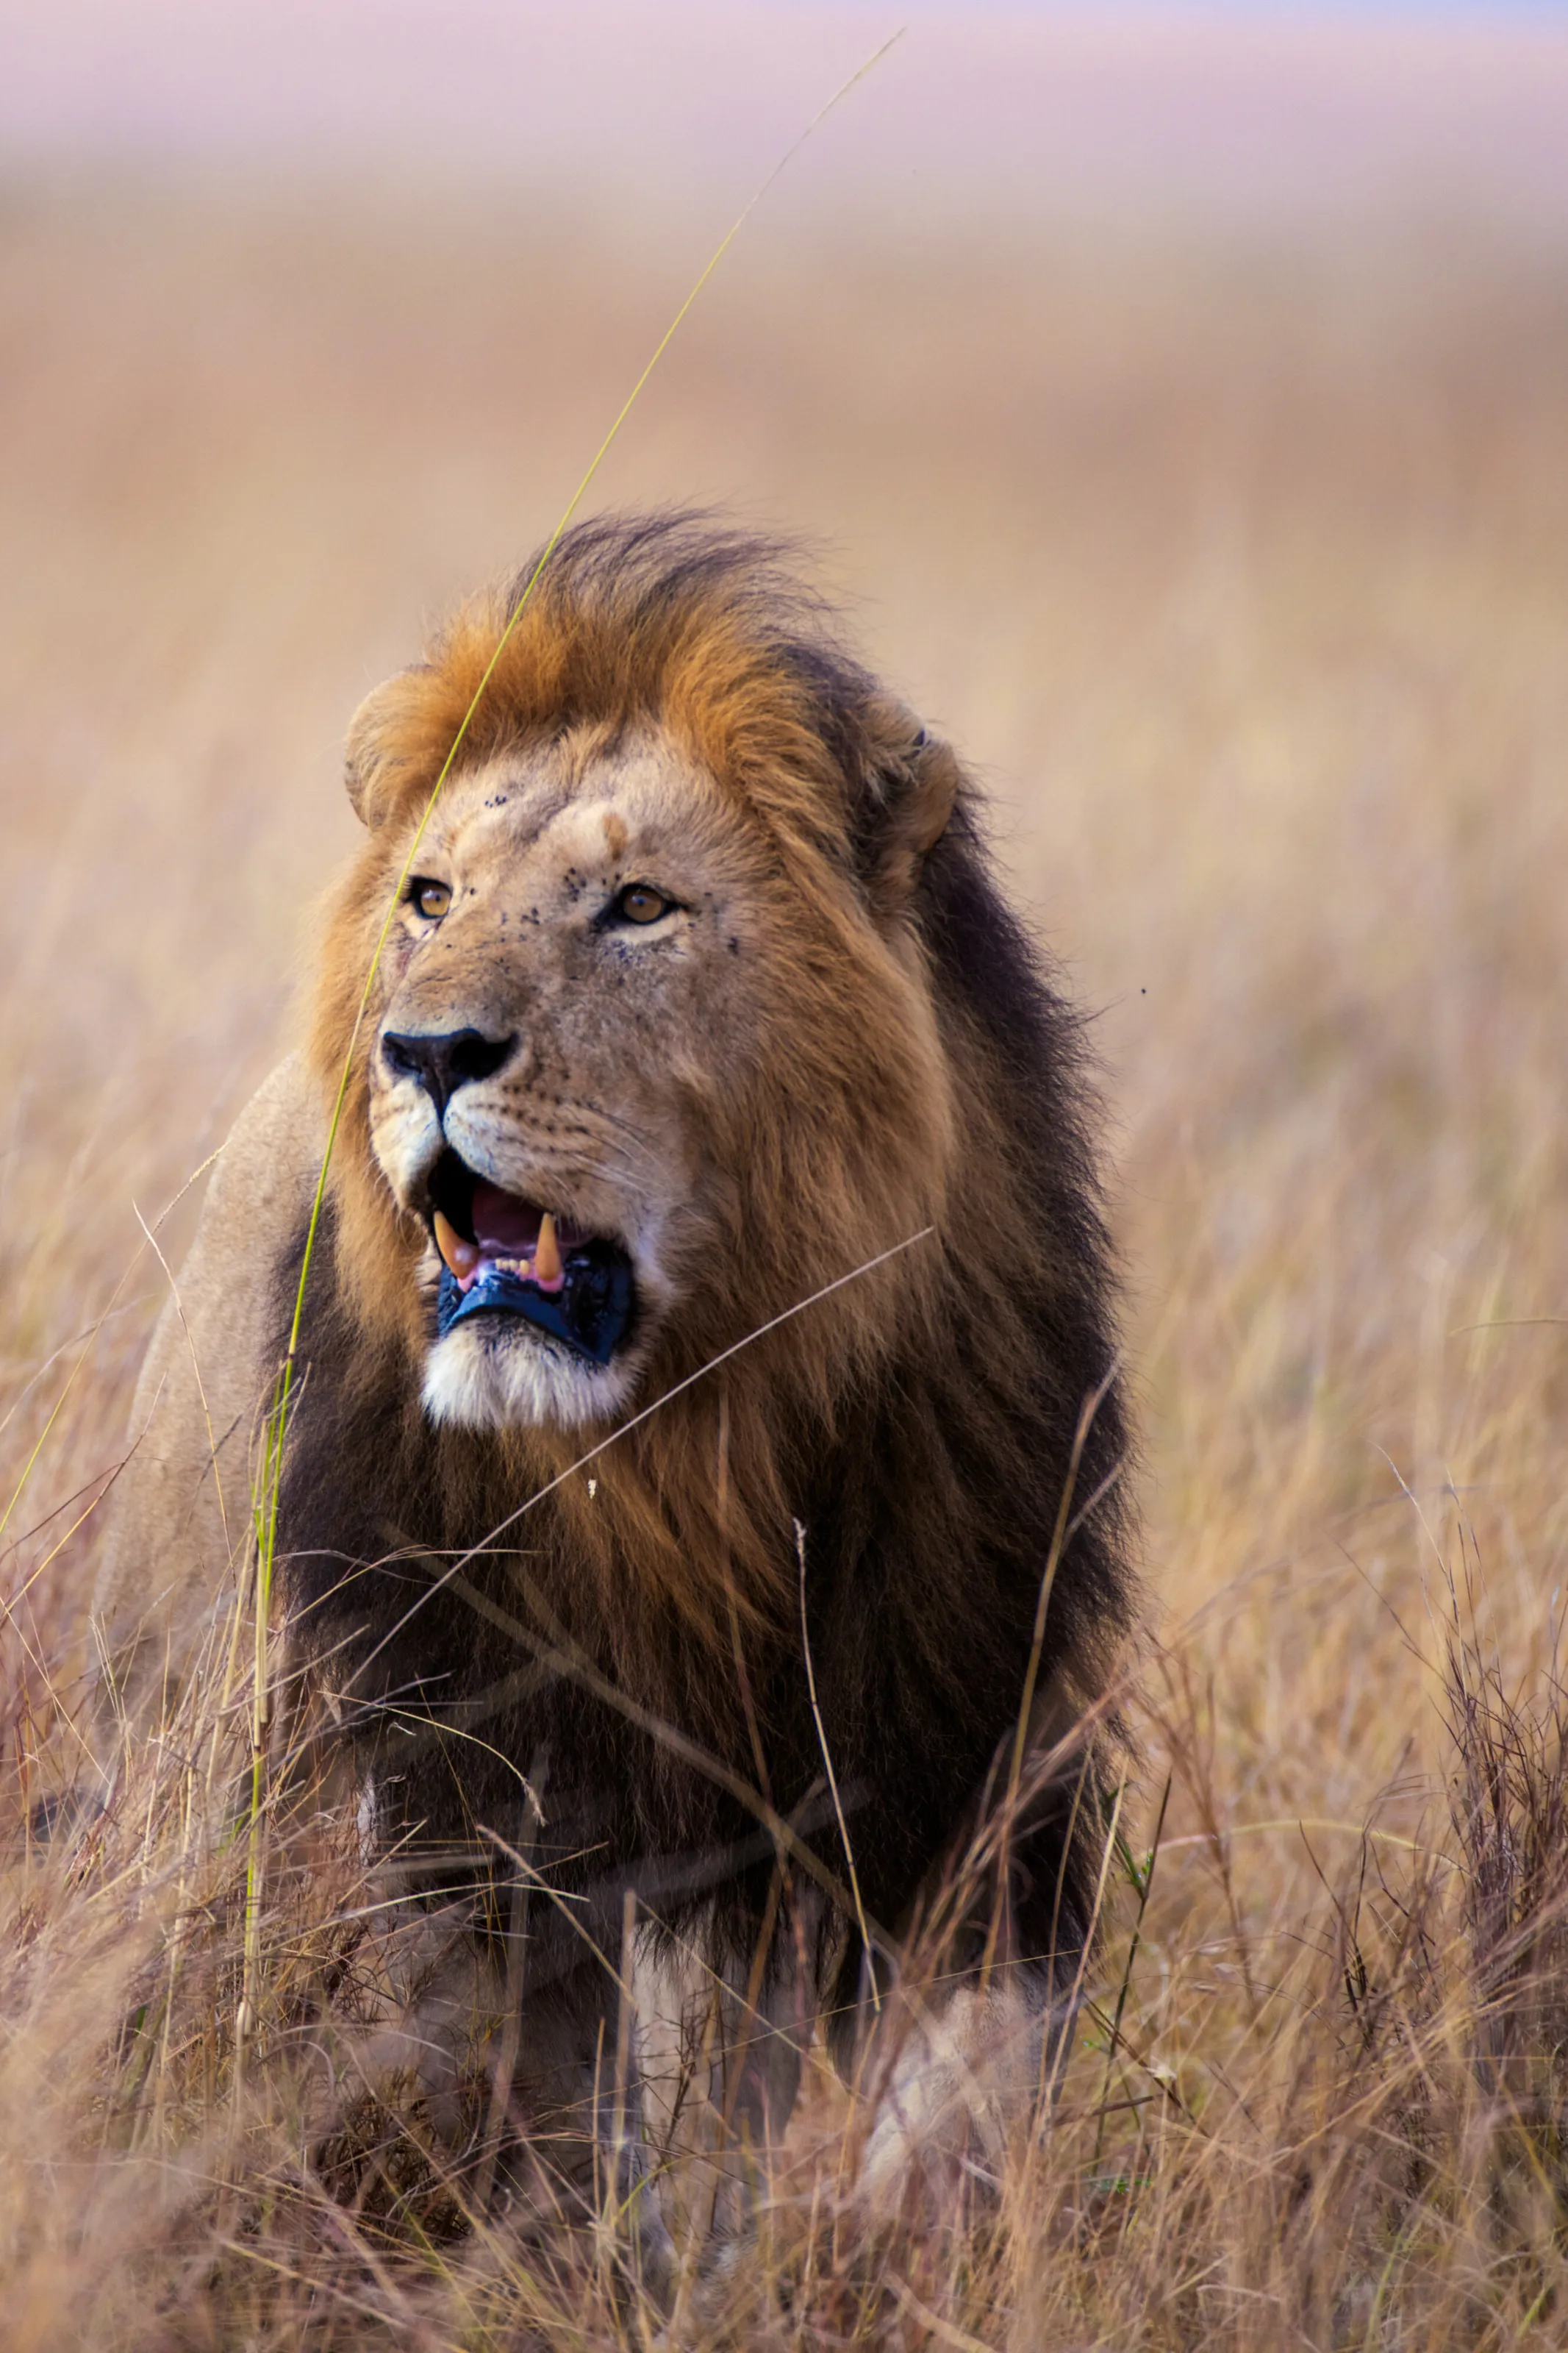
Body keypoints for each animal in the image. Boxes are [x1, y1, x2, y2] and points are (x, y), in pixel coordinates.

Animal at [95, 512, 1133, 2243]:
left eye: (640, 906)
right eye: (430, 897)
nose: (425, 1050)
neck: (675, 1456)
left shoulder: (947, 1747)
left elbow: (944, 2081)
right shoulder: (459, 1780)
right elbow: (504, 2088)